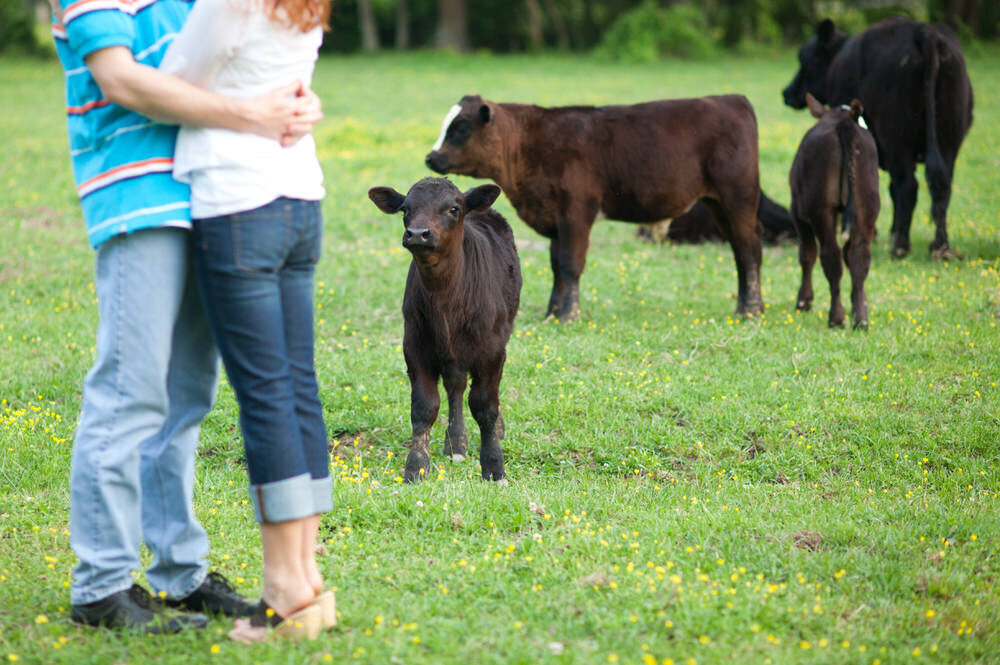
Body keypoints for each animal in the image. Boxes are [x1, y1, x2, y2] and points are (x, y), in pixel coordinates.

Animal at [368, 178, 524, 482]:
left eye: (453, 208)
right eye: (405, 208)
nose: (417, 234)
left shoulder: (491, 350)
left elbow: (485, 405)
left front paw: (494, 466)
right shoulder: (415, 346)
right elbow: (424, 407)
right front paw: (416, 467)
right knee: (455, 386)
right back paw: (455, 444)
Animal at [426, 94, 760, 322]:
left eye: (461, 128)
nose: (431, 158)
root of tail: (731, 99)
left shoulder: (576, 212)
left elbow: (571, 264)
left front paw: (568, 315)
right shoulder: (555, 219)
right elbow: (556, 265)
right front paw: (552, 311)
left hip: (738, 197)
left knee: (749, 250)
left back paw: (752, 311)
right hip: (718, 203)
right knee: (740, 252)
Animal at [784, 15, 972, 260]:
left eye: (806, 60)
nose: (786, 93)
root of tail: (923, 31)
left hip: (897, 140)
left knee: (908, 186)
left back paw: (900, 247)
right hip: (948, 139)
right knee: (940, 186)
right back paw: (940, 247)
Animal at [792, 94, 880, 330]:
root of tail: (845, 124)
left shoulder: (797, 212)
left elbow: (807, 255)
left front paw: (803, 301)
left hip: (821, 209)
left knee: (830, 256)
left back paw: (836, 317)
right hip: (866, 206)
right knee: (860, 257)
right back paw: (861, 319)